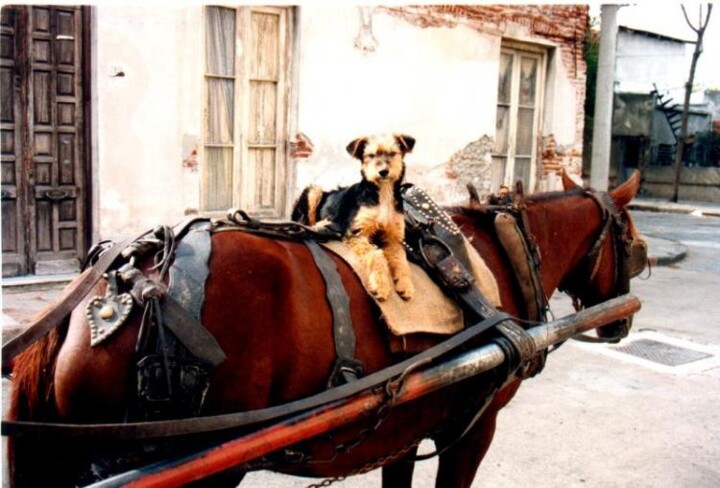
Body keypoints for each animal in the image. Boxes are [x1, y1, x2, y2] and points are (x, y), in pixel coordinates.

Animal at [4, 170, 648, 486]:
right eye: (631, 241)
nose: (622, 318)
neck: (495, 257)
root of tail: (122, 281)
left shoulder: (406, 427)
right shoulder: (473, 429)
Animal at [292, 133, 416, 302]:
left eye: (392, 153)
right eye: (371, 155)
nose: (383, 171)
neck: (383, 192)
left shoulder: (393, 239)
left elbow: (402, 261)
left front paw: (406, 286)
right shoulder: (357, 234)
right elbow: (377, 254)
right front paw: (381, 286)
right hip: (314, 191)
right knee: (307, 222)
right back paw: (321, 224)